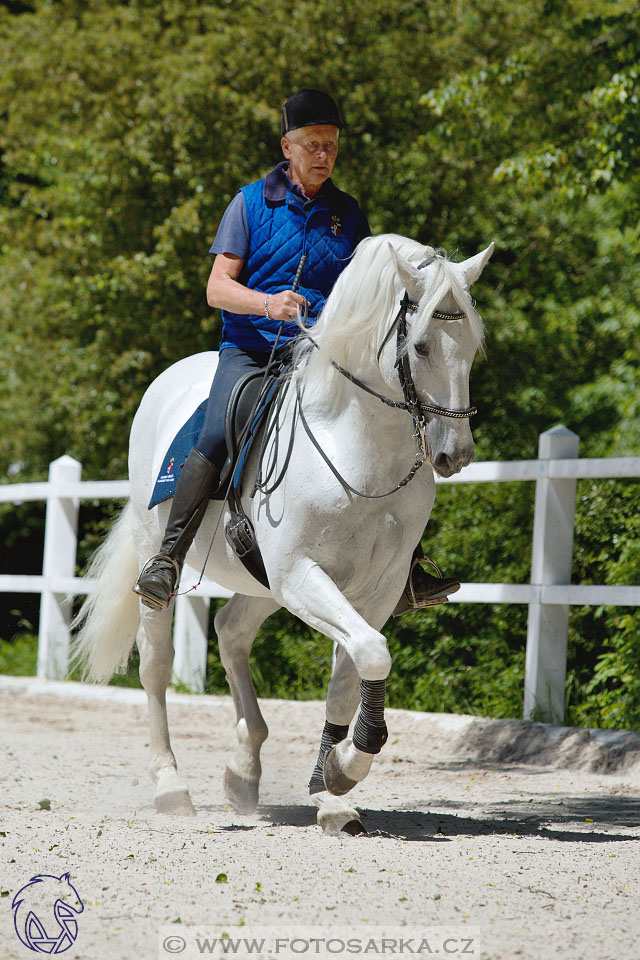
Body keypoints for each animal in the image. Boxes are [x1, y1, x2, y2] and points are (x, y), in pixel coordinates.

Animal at [75, 231, 496, 832]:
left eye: (473, 346)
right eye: (419, 347)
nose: (454, 454)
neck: (359, 450)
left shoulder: (374, 591)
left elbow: (352, 673)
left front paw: (334, 788)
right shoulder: (301, 575)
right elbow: (372, 654)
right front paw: (342, 772)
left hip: (263, 583)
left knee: (231, 631)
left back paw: (243, 770)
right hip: (164, 554)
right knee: (155, 665)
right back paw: (171, 787)